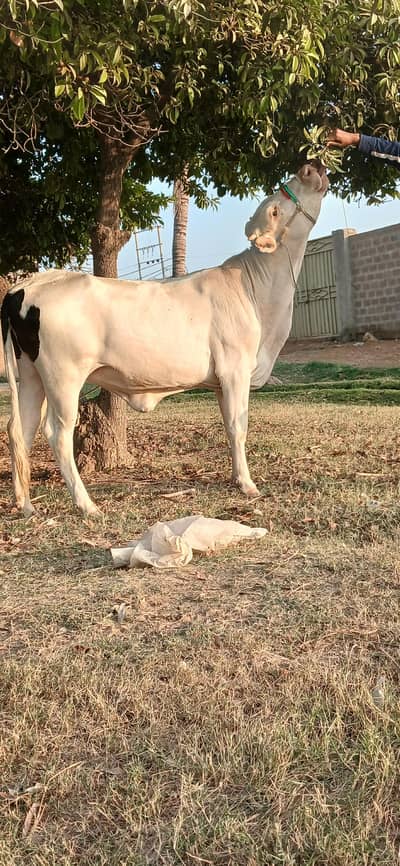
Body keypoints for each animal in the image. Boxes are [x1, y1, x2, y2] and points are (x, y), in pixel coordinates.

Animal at [1, 163, 328, 517]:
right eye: (275, 209)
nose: (308, 168)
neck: (255, 291)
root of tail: (27, 285)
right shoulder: (235, 370)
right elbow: (239, 425)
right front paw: (248, 485)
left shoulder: (220, 381)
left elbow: (229, 427)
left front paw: (236, 477)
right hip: (63, 376)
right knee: (57, 432)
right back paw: (86, 505)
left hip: (31, 375)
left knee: (20, 429)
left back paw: (25, 504)